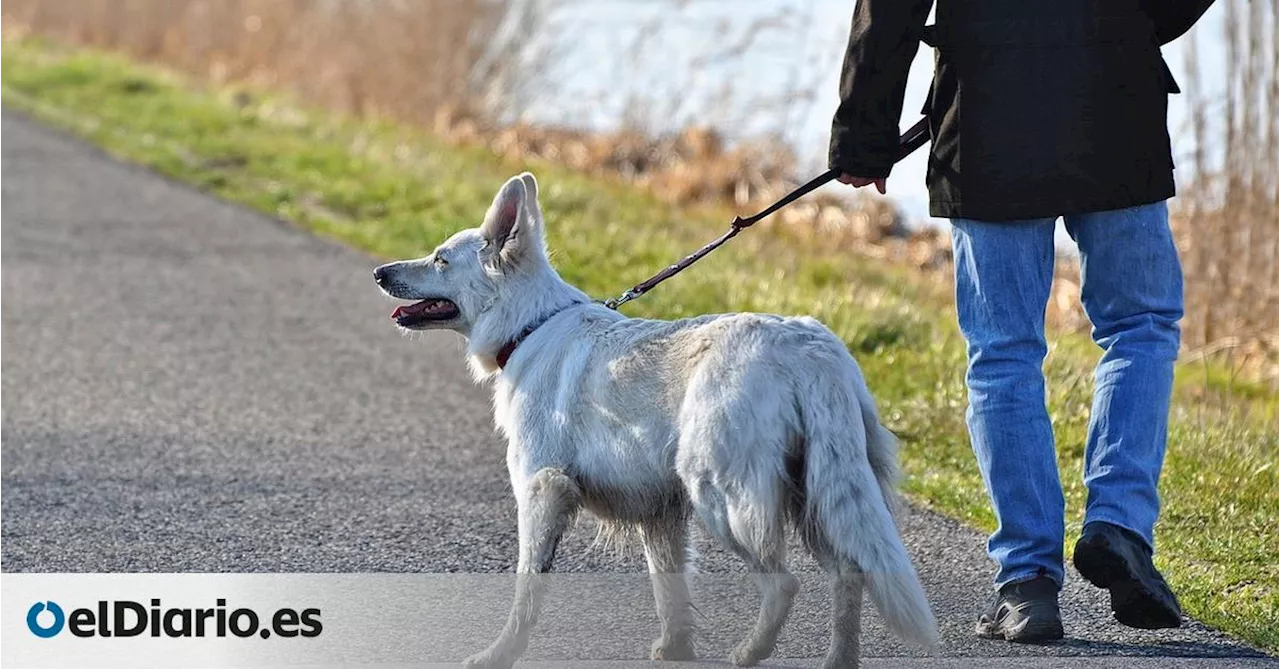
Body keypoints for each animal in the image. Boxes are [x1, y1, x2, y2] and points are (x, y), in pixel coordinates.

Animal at [373, 173, 936, 669]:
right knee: (850, 573)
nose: (379, 273)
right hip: (819, 496)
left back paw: (750, 652)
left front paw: (499, 655)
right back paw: (837, 661)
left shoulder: (543, 490)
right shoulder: (661, 514)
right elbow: (670, 591)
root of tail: (809, 347)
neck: (530, 325)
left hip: (722, 497)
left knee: (784, 582)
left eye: (440, 259)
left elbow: (527, 589)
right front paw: (676, 649)